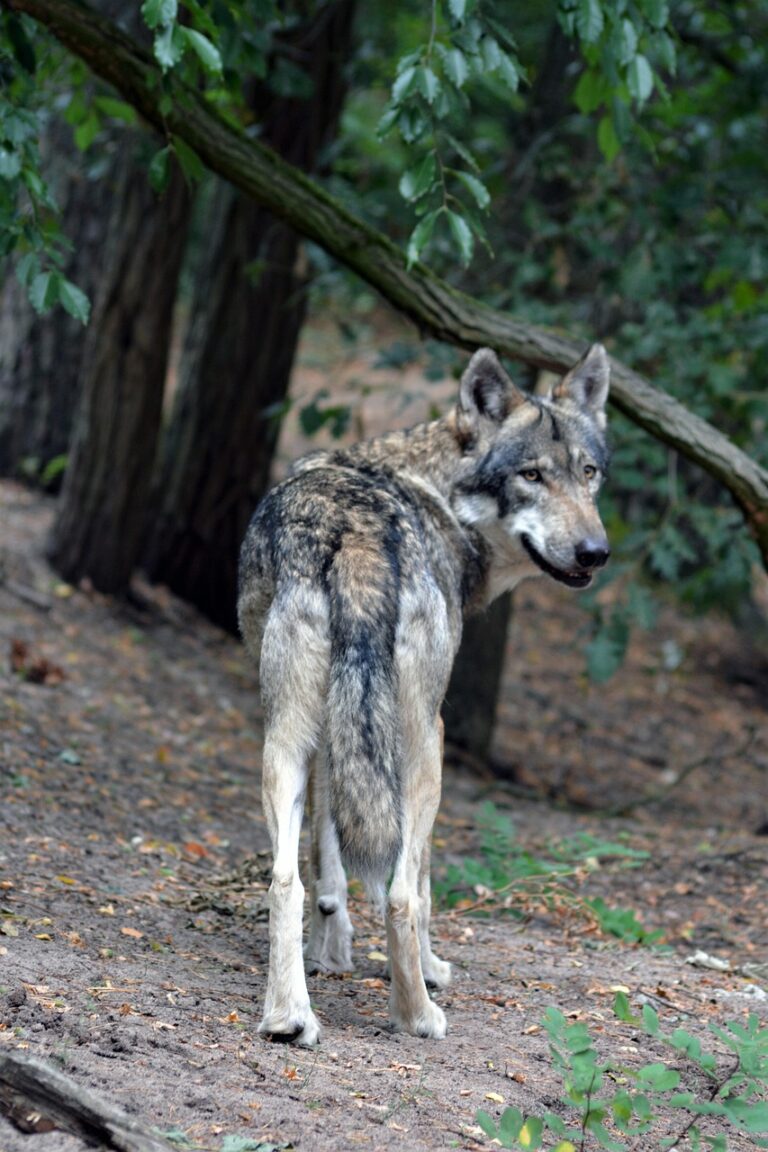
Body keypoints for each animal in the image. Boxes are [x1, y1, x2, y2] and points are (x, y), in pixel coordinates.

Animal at [238, 343, 610, 1047]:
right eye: (531, 475)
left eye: (589, 472)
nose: (594, 552)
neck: (437, 490)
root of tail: (354, 538)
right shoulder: (428, 735)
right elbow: (424, 883)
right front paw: (432, 968)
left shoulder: (333, 738)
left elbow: (328, 860)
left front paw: (332, 952)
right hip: (422, 747)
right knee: (403, 892)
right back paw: (417, 1015)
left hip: (284, 740)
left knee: (283, 879)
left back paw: (289, 1017)